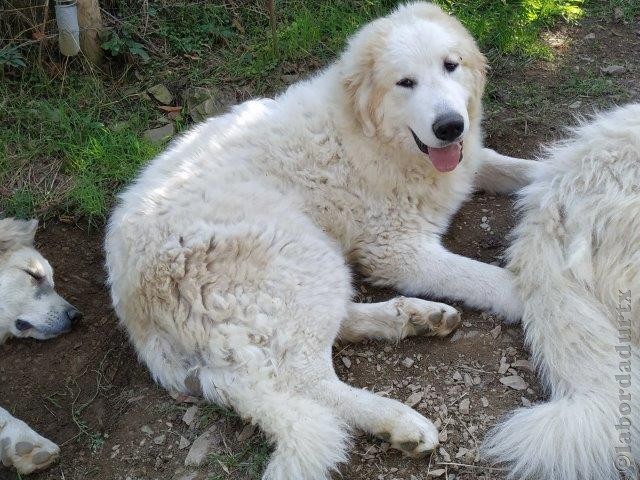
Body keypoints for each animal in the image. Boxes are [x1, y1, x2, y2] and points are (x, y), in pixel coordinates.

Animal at [107, 2, 536, 476]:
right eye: (405, 82)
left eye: (450, 65)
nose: (450, 126)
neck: (373, 135)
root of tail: (132, 300)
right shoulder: (396, 249)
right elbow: (484, 277)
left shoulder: (468, 162)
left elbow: (516, 167)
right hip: (300, 254)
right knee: (304, 376)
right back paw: (398, 420)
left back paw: (414, 318)